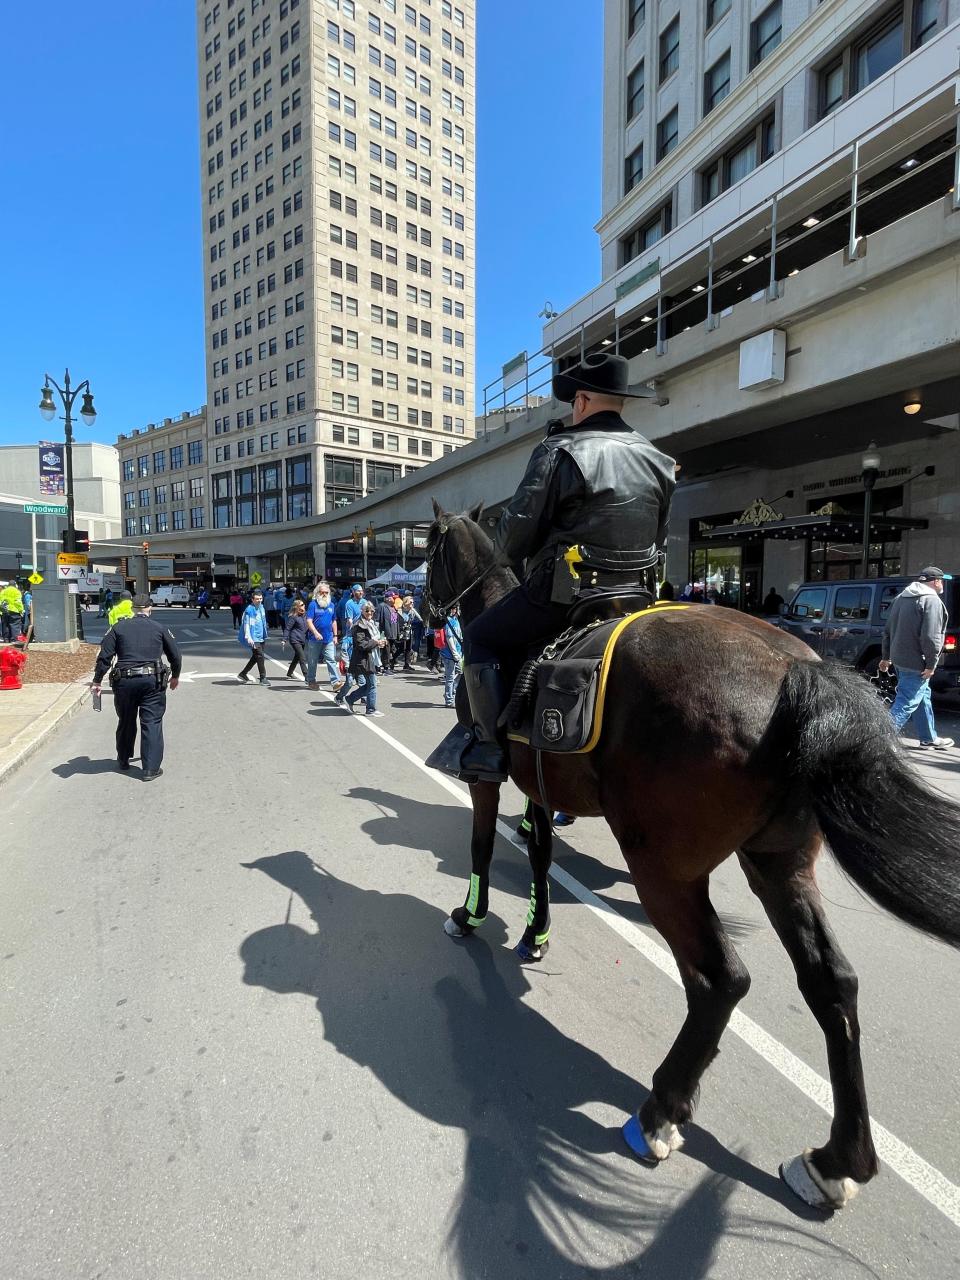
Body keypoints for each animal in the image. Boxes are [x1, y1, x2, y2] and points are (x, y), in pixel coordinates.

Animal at [427, 499, 960, 1208]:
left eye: (431, 551)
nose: (424, 604)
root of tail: (800, 672)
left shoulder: (487, 775)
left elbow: (484, 846)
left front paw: (471, 917)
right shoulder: (538, 784)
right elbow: (539, 856)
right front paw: (535, 935)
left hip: (665, 869)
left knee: (719, 980)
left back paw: (660, 1112)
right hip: (779, 863)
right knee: (831, 983)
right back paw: (837, 1159)